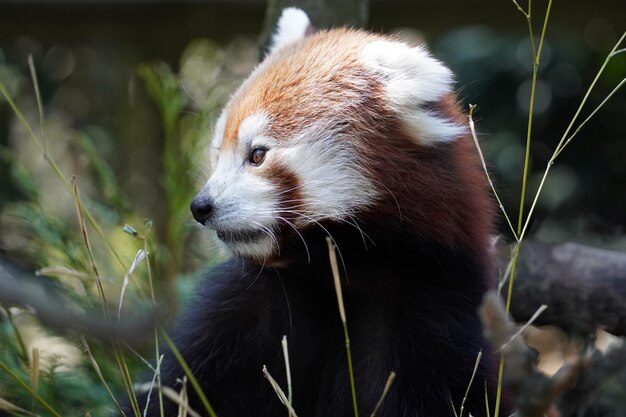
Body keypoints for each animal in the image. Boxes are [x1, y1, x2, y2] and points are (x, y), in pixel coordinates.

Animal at [140, 7, 498, 416]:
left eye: (257, 155)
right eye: (219, 154)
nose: (201, 206)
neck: (340, 270)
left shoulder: (433, 307)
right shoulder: (248, 310)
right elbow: (183, 388)